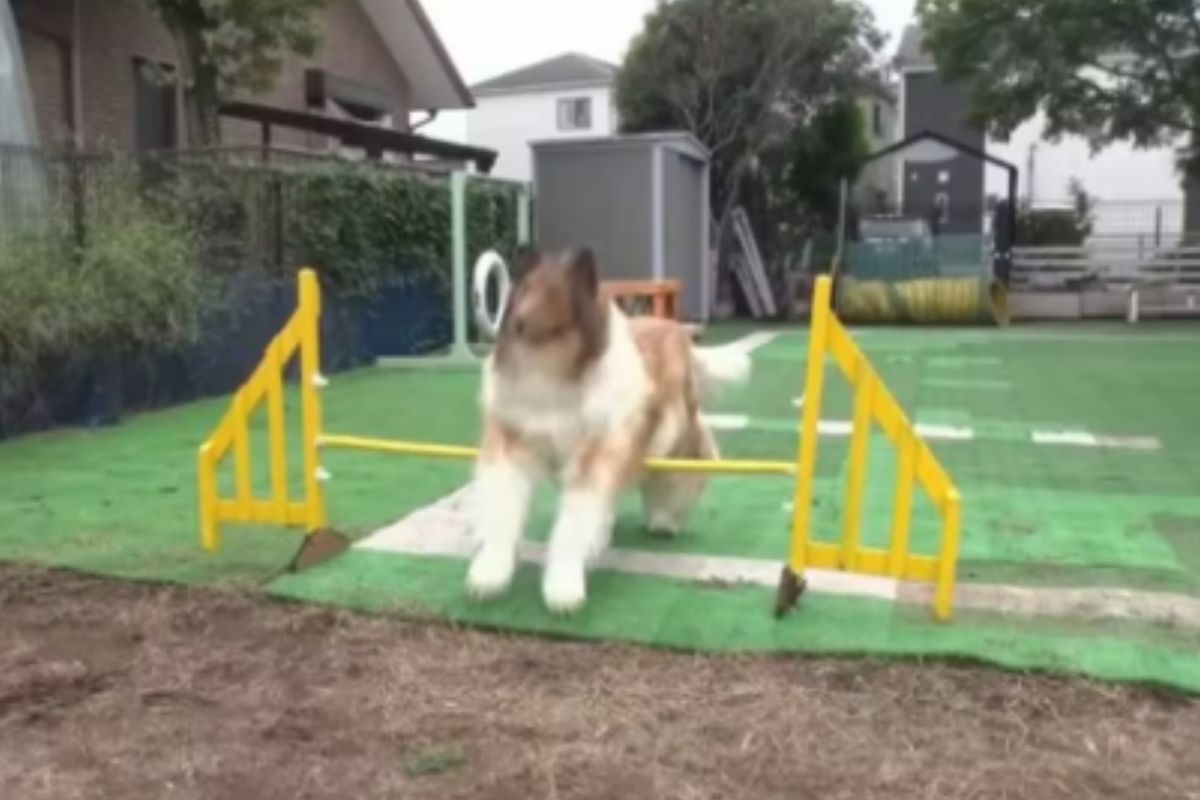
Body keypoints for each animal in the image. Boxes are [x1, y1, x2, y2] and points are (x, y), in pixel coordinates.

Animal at [463, 248, 744, 614]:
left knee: (688, 460)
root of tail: (677, 331)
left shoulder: (596, 456)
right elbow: (502, 509)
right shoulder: (511, 446)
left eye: (555, 296)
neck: (552, 374)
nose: (518, 323)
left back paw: (666, 519)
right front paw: (487, 577)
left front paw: (563, 590)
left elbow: (573, 524)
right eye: (524, 290)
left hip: (670, 435)